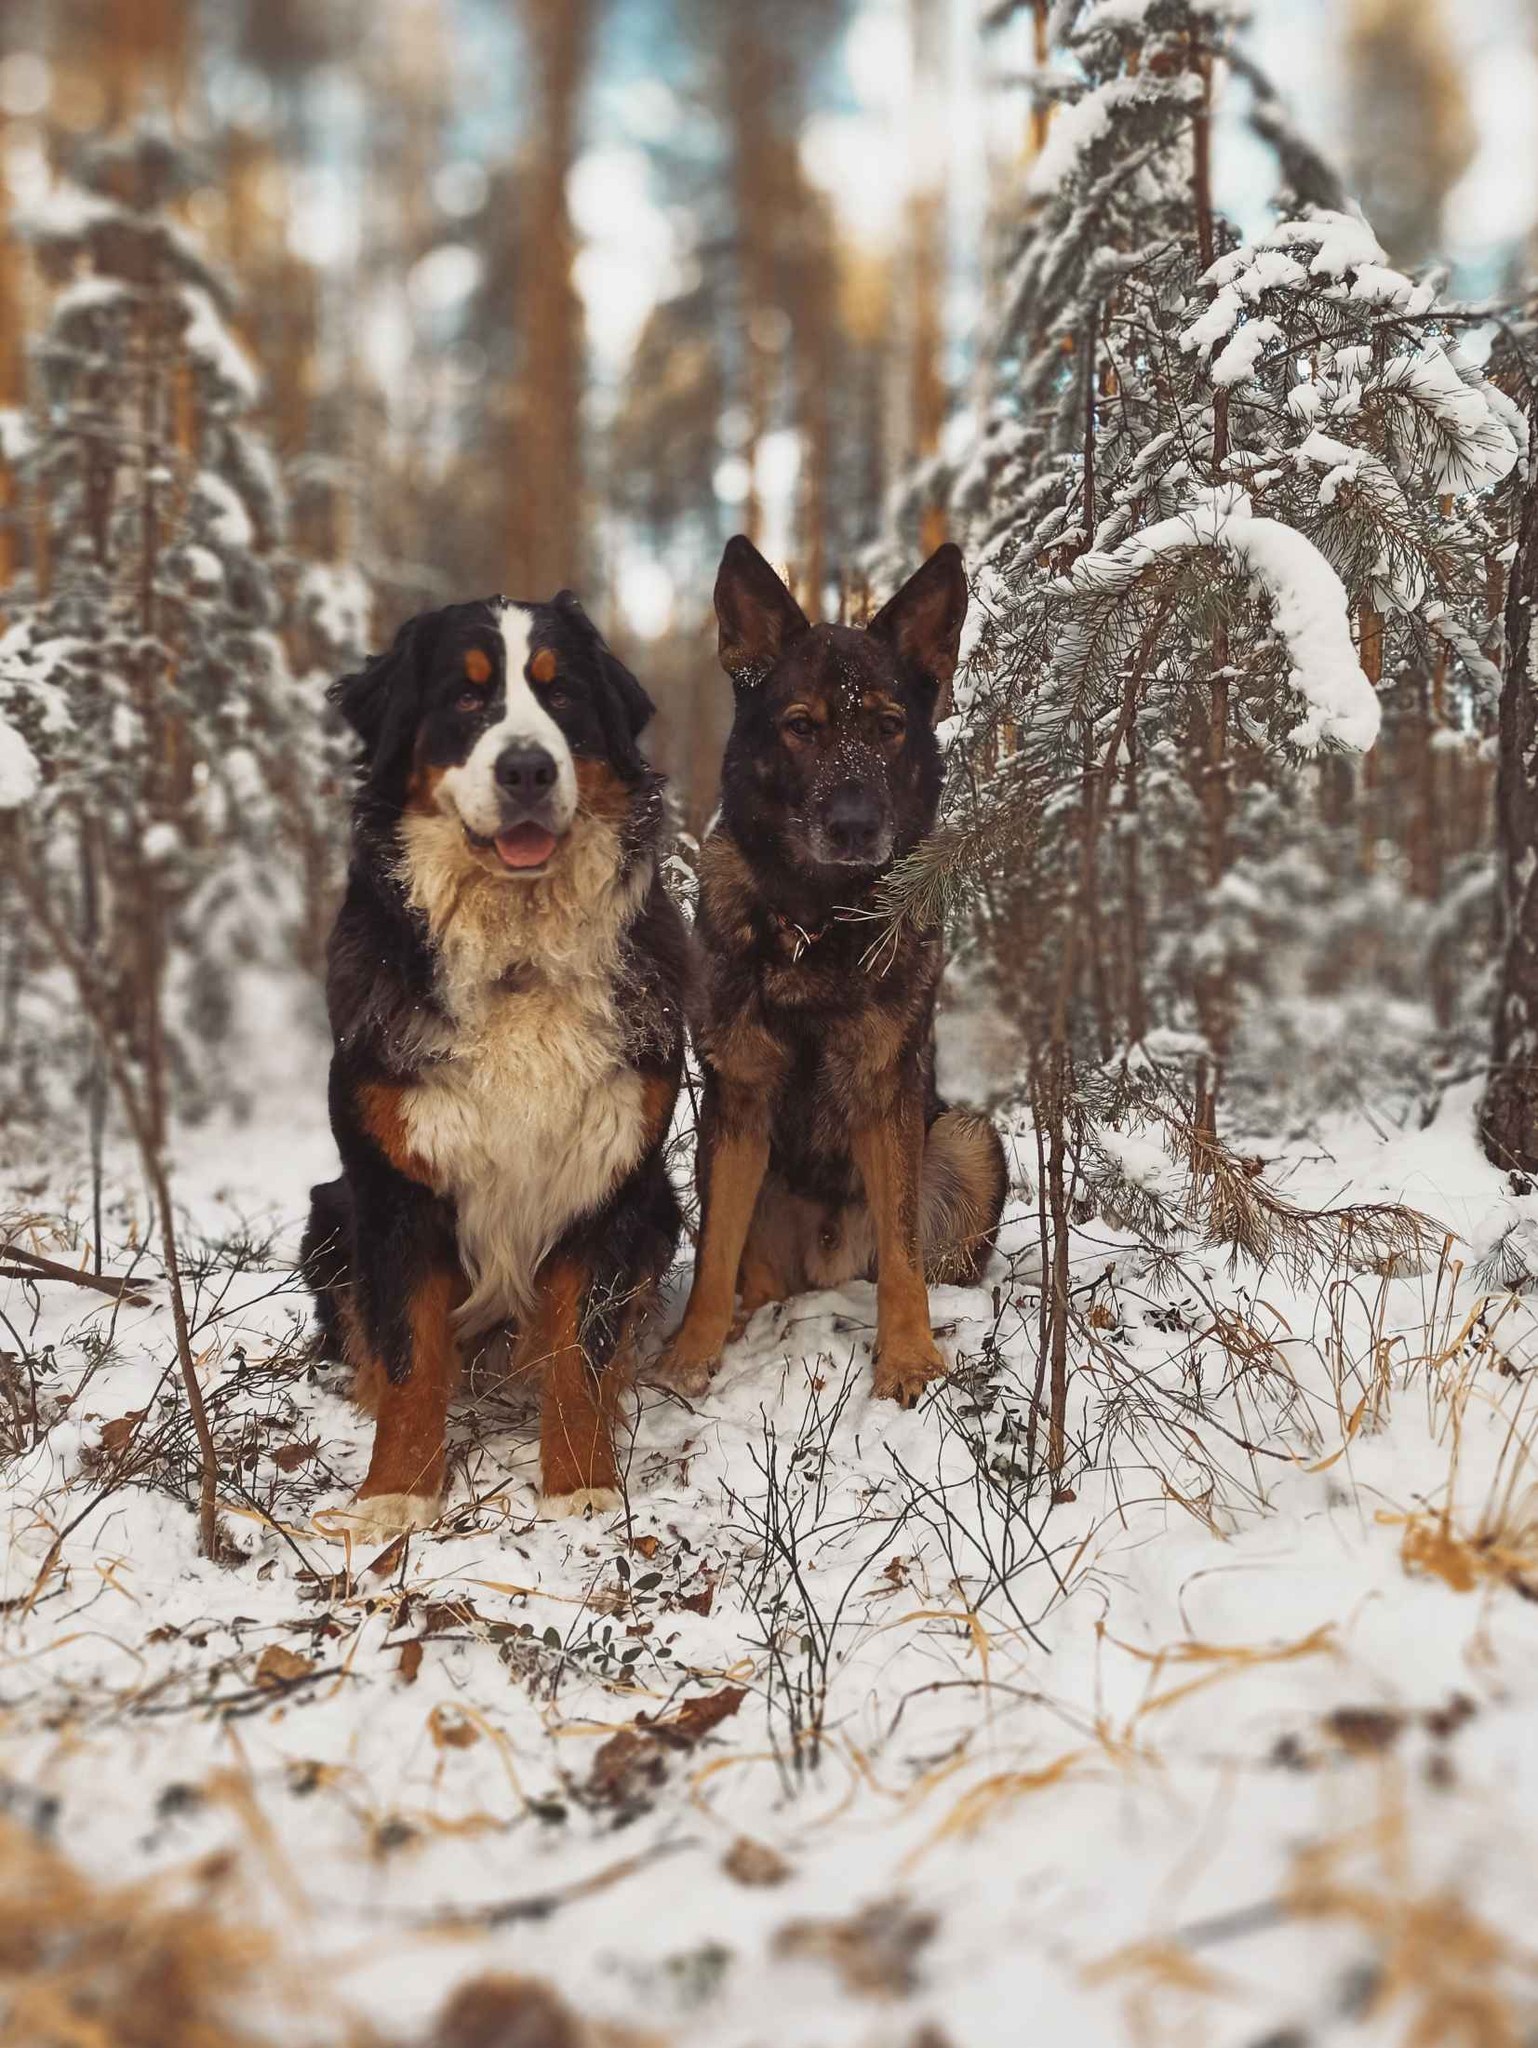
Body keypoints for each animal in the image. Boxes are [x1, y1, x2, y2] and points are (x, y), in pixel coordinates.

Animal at [301, 593, 684, 1540]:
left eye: (563, 694)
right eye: (467, 698)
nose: (527, 770)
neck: (518, 958)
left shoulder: (611, 1176)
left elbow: (582, 1353)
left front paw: (580, 1483)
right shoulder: (395, 1186)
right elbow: (408, 1352)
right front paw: (397, 1492)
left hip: (664, 1208)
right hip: (331, 1212)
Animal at [659, 536, 1011, 1409]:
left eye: (887, 728)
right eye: (800, 728)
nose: (854, 825)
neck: (815, 924)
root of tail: (827, 1269)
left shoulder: (886, 1093)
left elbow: (905, 1257)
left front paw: (909, 1357)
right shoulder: (738, 1102)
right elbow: (713, 1258)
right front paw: (690, 1355)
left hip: (966, 1137)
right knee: (747, 1268)